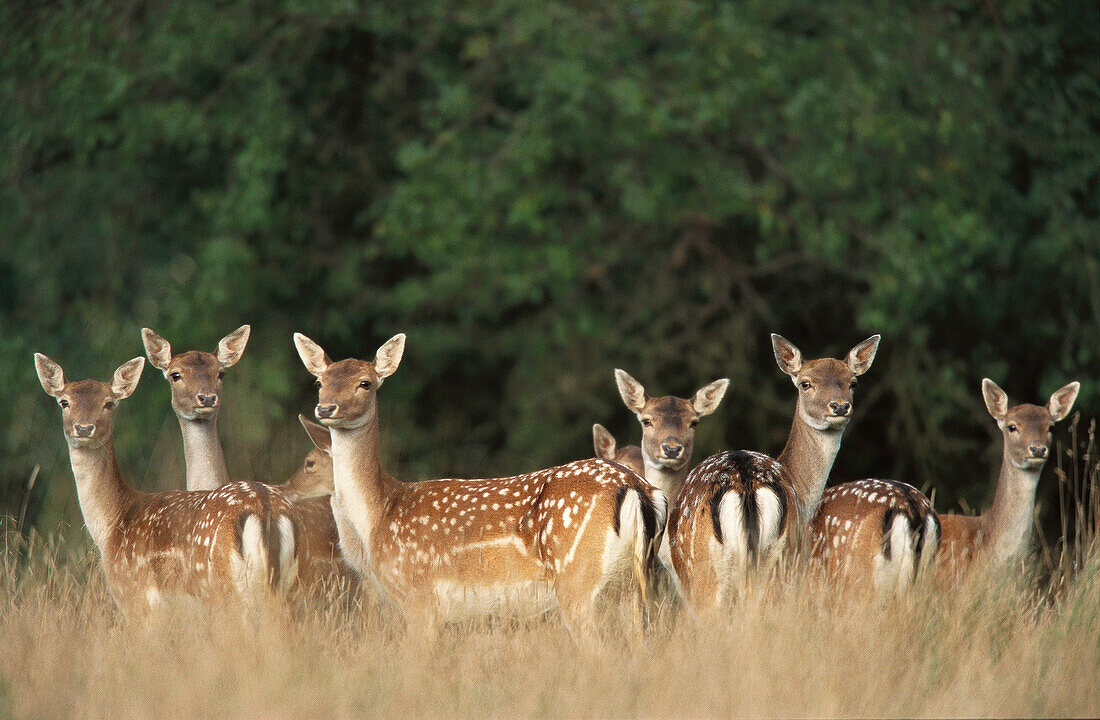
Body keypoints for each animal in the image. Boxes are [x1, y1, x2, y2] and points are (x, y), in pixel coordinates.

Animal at [36, 351, 299, 611]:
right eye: (64, 402)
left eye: (109, 403)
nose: (83, 427)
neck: (112, 523)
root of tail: (264, 510)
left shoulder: (135, 599)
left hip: (224, 590)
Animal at [292, 334, 664, 637]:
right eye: (319, 381)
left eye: (366, 383)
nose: (326, 407)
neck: (378, 517)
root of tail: (634, 486)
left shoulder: (419, 597)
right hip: (632, 585)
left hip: (577, 579)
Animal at [664, 334, 880, 611]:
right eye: (805, 383)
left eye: (852, 383)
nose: (840, 406)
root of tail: (744, 483)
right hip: (776, 564)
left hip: (707, 572)